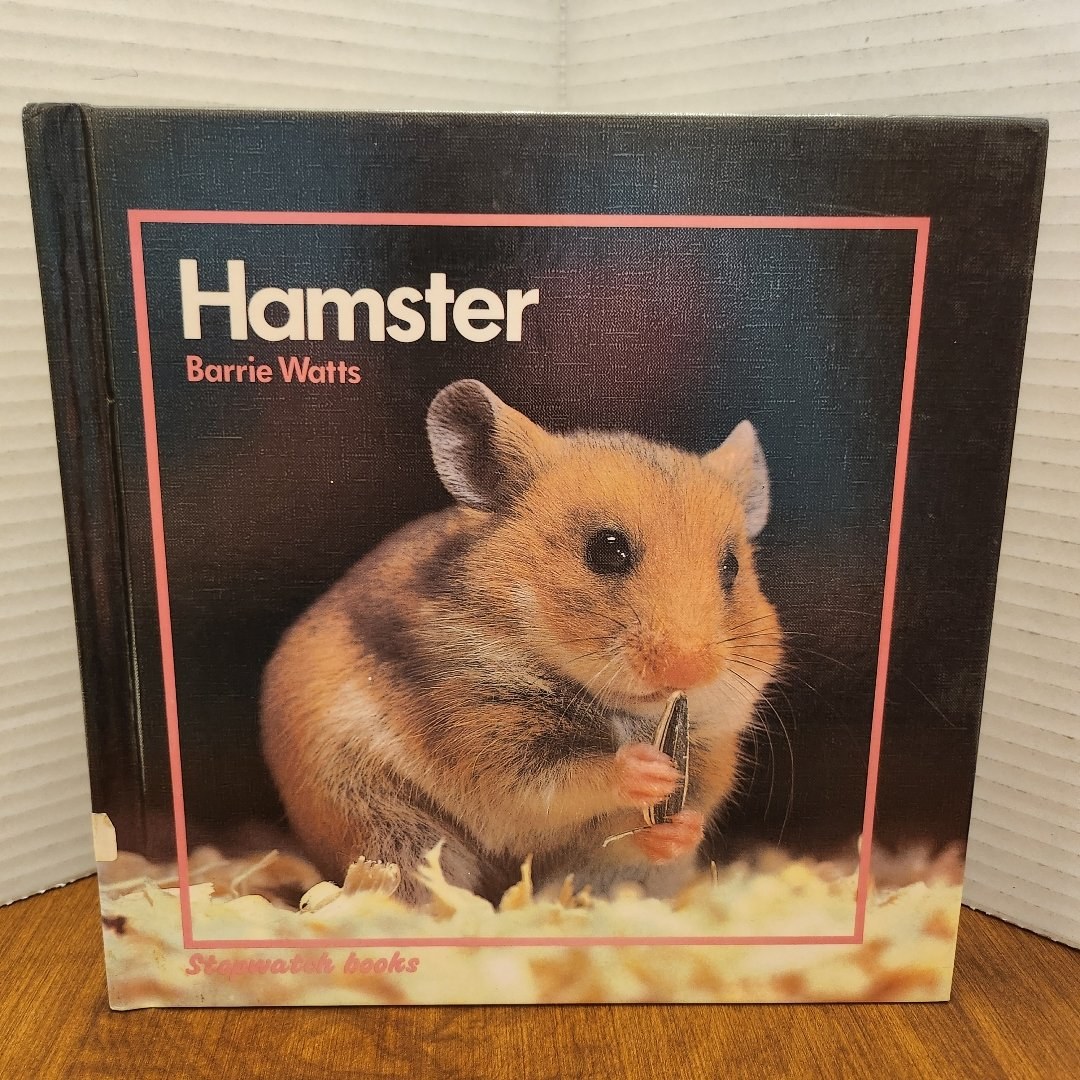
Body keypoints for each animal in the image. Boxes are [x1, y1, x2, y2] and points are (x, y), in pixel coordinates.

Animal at [261, 379, 782, 904]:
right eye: (607, 549)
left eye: (732, 567)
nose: (688, 669)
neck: (620, 708)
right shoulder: (490, 740)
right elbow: (566, 778)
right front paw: (651, 770)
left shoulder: (712, 751)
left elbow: (639, 830)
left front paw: (678, 826)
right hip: (385, 826)